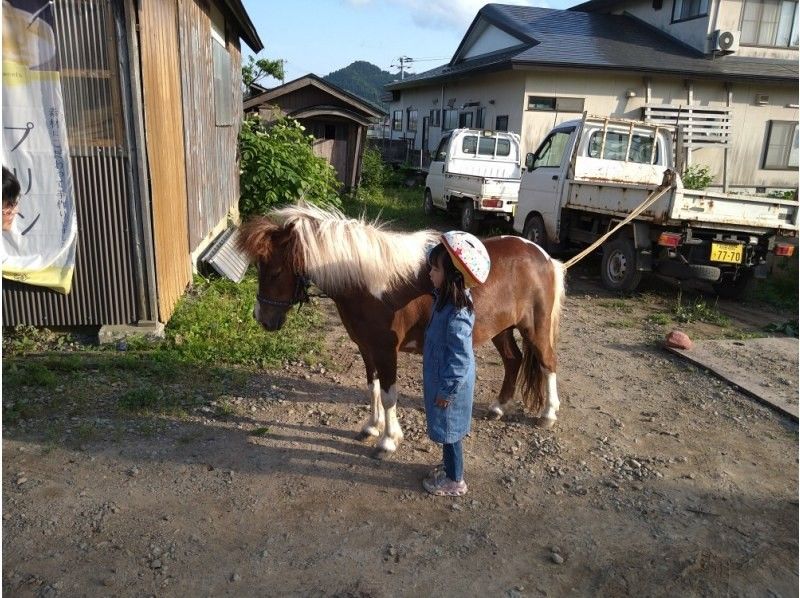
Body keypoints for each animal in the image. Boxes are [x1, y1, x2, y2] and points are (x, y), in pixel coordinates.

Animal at [234, 204, 564, 462]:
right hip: (502, 329)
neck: (372, 283)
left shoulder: (385, 350)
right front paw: (371, 427)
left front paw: (388, 441)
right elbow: (373, 388)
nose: (262, 318)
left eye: (276, 271)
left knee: (547, 363)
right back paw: (499, 407)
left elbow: (390, 395)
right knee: (513, 360)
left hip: (534, 328)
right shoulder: (366, 348)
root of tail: (543, 256)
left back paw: (548, 414)